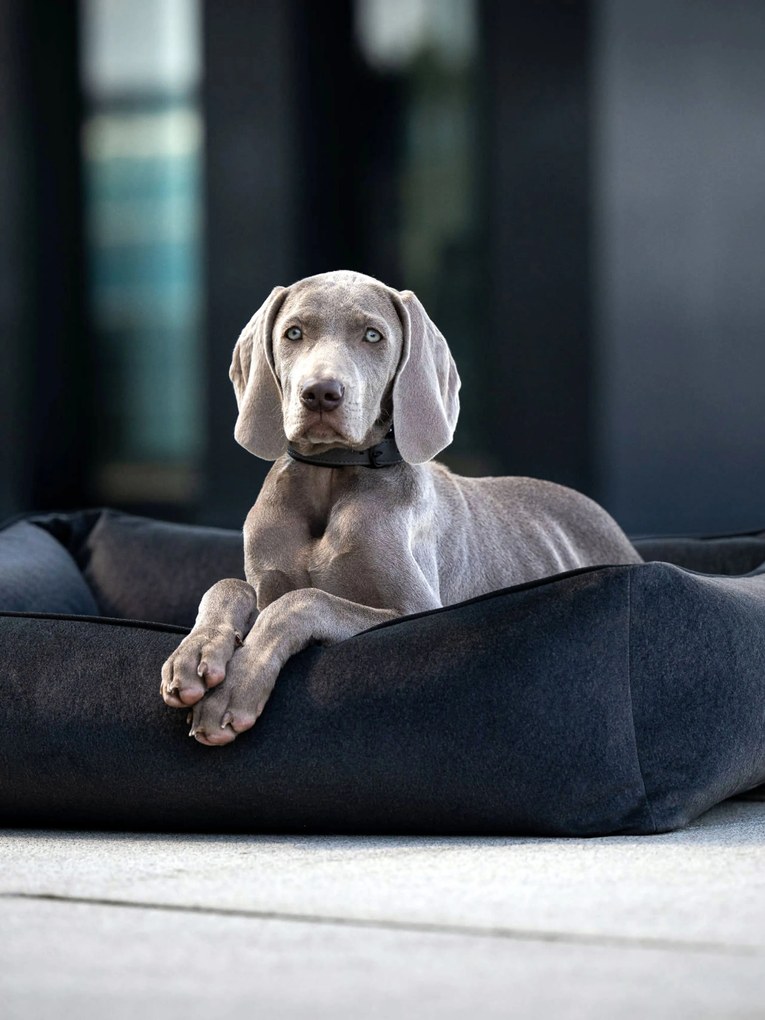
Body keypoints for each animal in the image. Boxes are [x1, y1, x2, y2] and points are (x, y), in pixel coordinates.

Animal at [162, 269, 640, 750]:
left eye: (373, 335)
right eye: (293, 333)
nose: (321, 393)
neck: (332, 476)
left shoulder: (416, 611)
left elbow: (304, 600)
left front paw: (234, 690)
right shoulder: (265, 583)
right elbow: (228, 585)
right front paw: (195, 654)